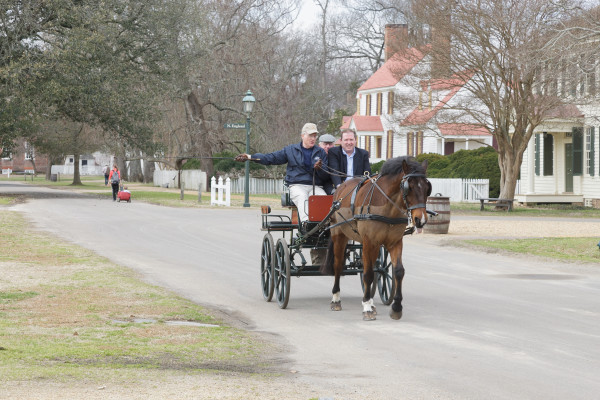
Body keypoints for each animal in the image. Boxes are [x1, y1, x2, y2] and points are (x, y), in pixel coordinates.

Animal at [318, 156, 432, 322]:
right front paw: (366, 307)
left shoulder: (394, 242)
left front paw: (396, 307)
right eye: (409, 187)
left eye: (427, 188)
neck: (388, 207)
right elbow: (368, 274)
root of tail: (340, 188)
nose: (421, 220)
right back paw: (336, 299)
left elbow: (398, 271)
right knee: (338, 266)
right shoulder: (368, 241)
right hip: (339, 235)